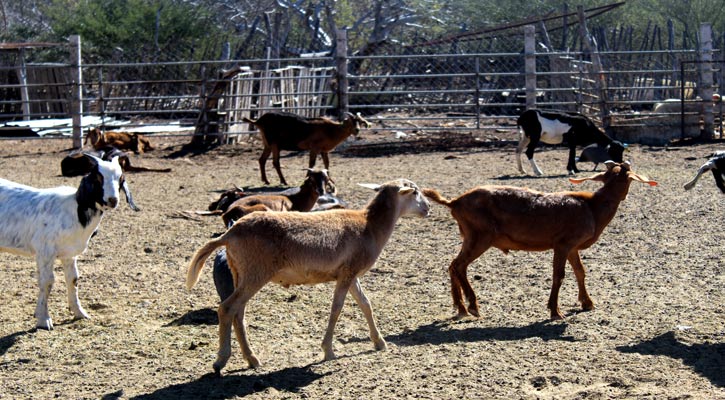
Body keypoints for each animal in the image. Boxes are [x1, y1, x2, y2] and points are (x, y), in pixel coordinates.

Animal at [0, 153, 136, 328]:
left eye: (121, 178)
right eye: (98, 177)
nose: (112, 200)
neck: (74, 210)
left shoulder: (69, 255)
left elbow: (73, 280)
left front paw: (80, 313)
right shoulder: (45, 252)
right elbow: (47, 282)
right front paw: (44, 319)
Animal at [187, 178, 430, 372]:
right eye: (415, 192)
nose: (428, 208)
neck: (370, 226)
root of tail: (230, 233)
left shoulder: (350, 274)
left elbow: (365, 304)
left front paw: (379, 342)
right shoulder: (348, 273)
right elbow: (336, 309)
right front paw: (328, 351)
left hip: (241, 273)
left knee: (238, 313)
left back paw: (252, 359)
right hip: (255, 273)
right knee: (227, 308)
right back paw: (221, 360)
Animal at [424, 161, 656, 320]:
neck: (593, 208)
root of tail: (454, 202)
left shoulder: (572, 247)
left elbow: (580, 272)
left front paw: (587, 303)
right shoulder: (562, 244)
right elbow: (559, 276)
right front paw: (555, 311)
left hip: (469, 236)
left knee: (453, 265)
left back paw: (460, 307)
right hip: (480, 236)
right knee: (459, 266)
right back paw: (472, 306)